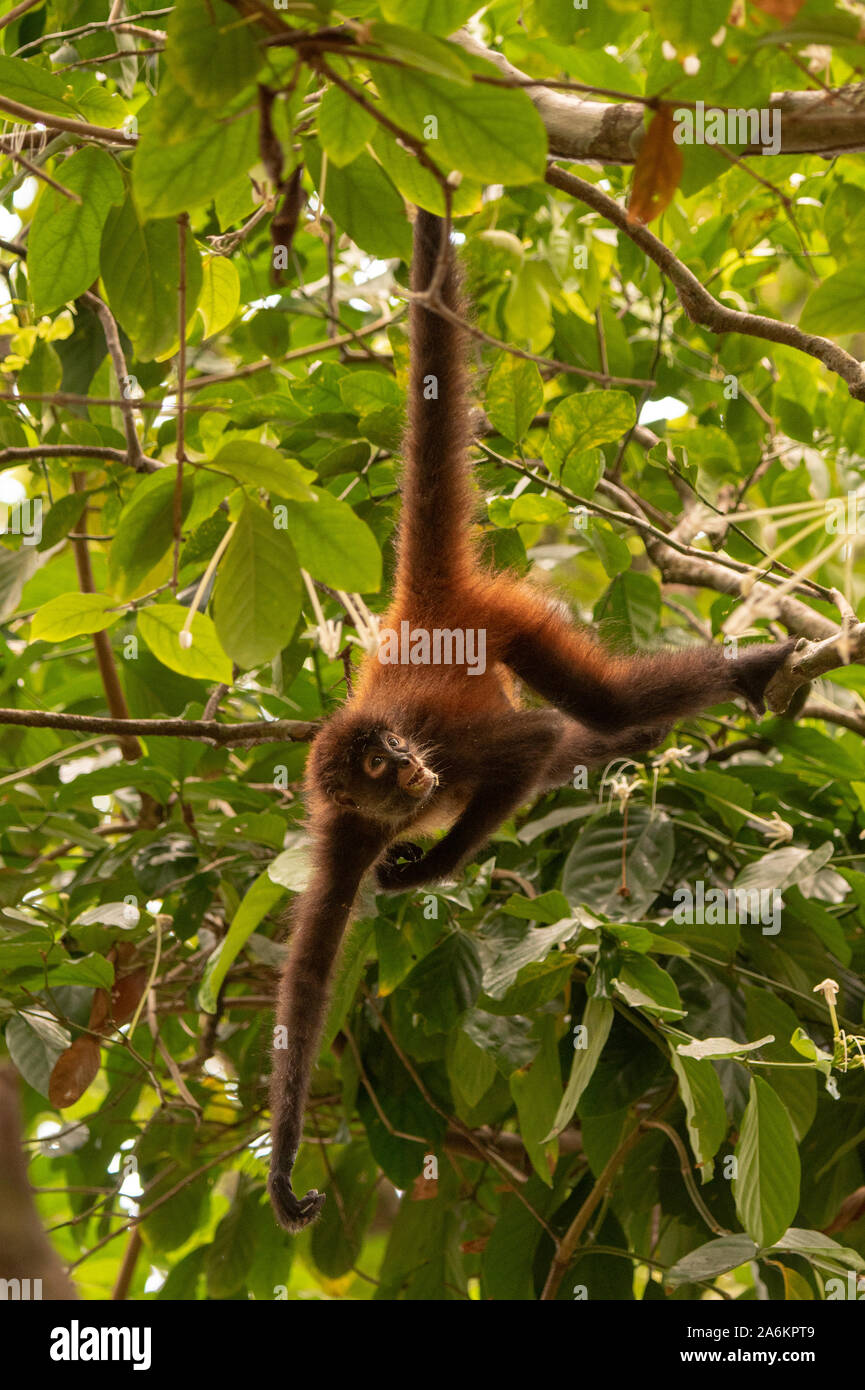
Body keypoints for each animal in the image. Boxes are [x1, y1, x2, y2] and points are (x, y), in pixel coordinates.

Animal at [268, 202, 795, 1228]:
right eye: (379, 766)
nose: (412, 770)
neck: (397, 804)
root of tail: (420, 607)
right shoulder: (343, 833)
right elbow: (307, 984)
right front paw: (280, 1169)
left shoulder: (444, 753)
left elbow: (535, 741)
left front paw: (430, 869)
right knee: (594, 728)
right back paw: (646, 734)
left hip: (503, 618)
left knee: (588, 706)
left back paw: (745, 671)